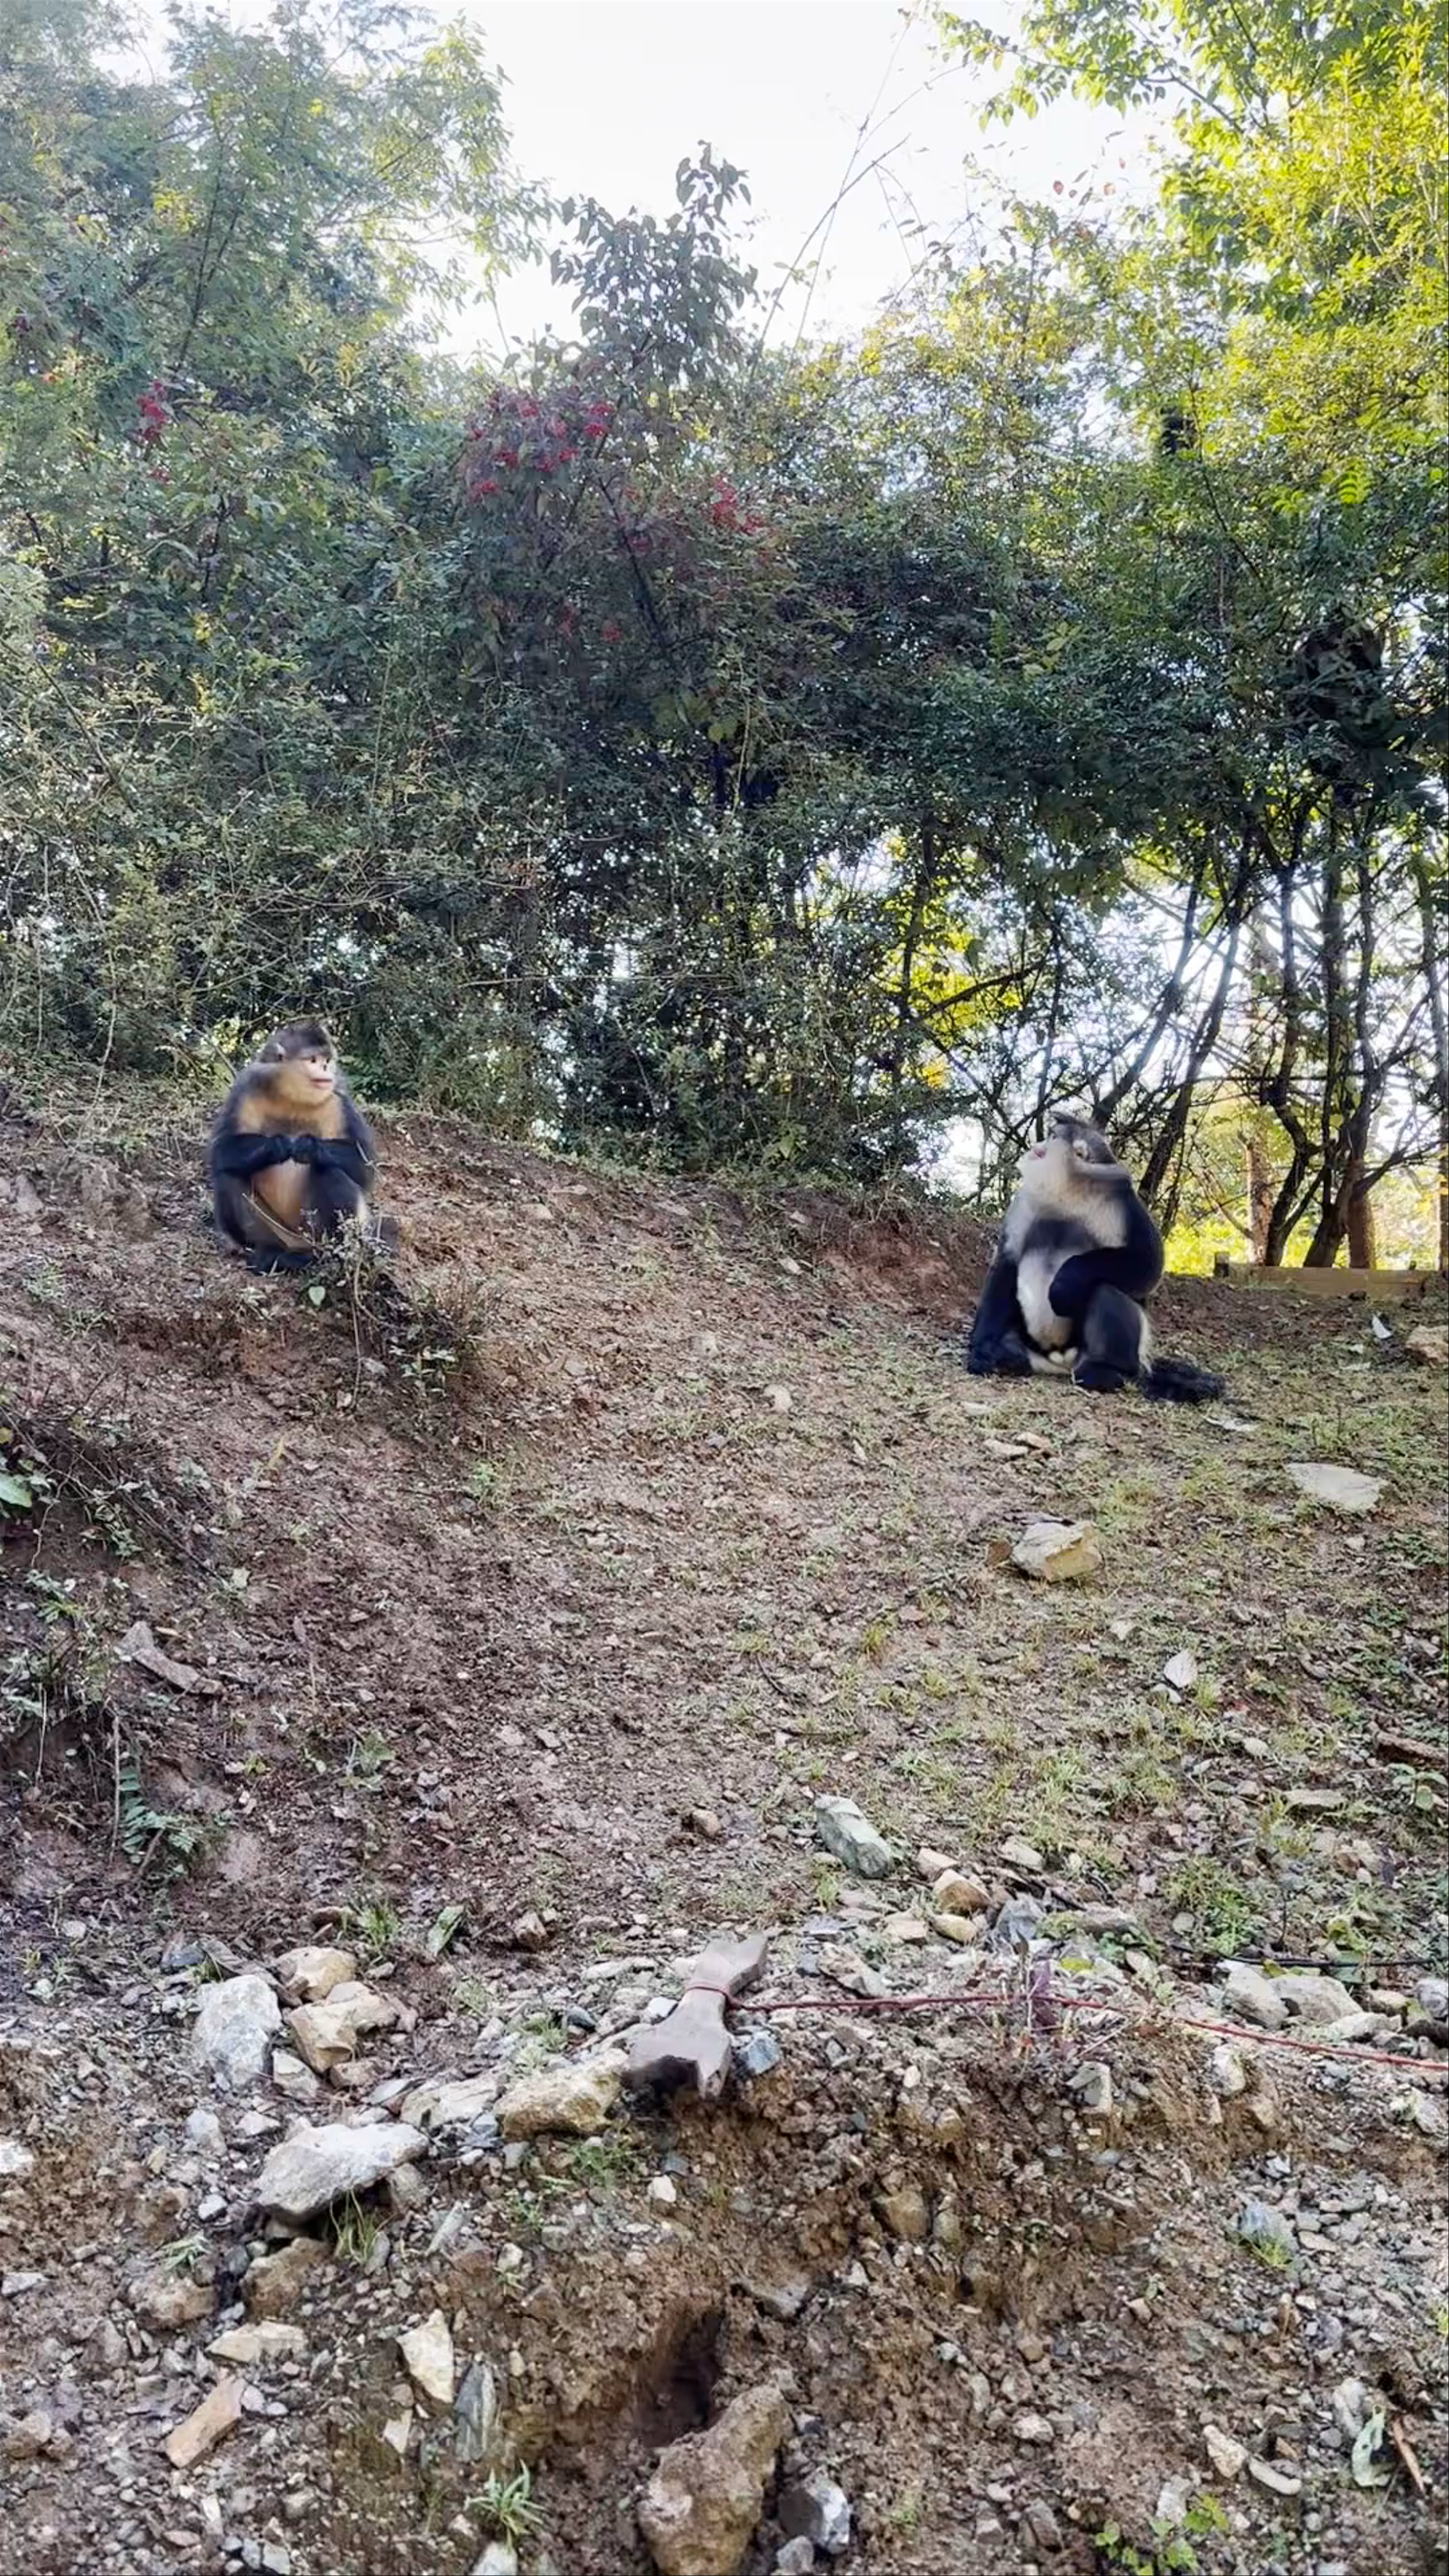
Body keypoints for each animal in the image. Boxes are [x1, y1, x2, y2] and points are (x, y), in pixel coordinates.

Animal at [208, 1020, 379, 1271]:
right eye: (313, 1060)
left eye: (327, 1060)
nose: (326, 1069)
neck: (292, 1098)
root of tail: (300, 1245)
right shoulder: (248, 1085)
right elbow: (221, 1151)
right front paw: (277, 1146)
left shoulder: (339, 1100)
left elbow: (366, 1171)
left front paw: (309, 1148)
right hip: (281, 1233)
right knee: (228, 1174)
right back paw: (269, 1253)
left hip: (315, 1233)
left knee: (330, 1172)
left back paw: (332, 1256)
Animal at [966, 1114, 1225, 1403]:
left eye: (1053, 1137)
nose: (1037, 1145)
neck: (1067, 1195)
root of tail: (1060, 1362)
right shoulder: (1025, 1202)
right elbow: (1006, 1265)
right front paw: (982, 1347)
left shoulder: (1123, 1202)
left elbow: (1148, 1264)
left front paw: (1065, 1284)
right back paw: (1006, 1356)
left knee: (1105, 1289)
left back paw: (1104, 1370)